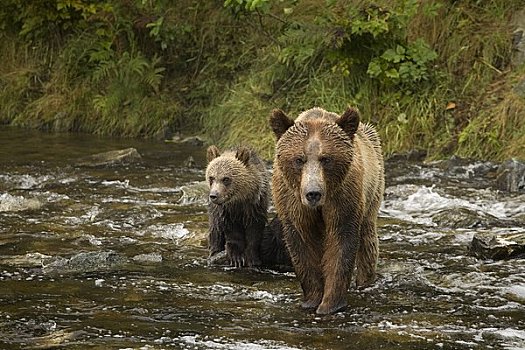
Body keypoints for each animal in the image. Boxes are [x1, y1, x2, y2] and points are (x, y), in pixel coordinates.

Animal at [268, 106, 382, 314]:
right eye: (299, 159)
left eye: (326, 159)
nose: (313, 193)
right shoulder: (293, 202)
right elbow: (302, 243)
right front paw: (312, 299)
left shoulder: (343, 197)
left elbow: (341, 241)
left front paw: (330, 303)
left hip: (373, 187)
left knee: (368, 239)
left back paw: (365, 281)